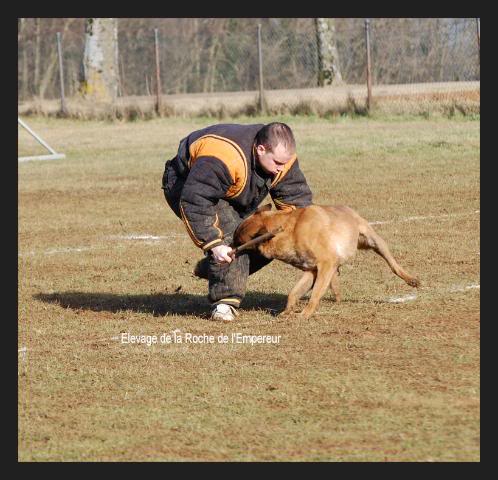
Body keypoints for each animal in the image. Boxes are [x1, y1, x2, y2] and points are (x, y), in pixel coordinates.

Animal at [233, 202, 420, 318]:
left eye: (238, 241)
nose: (229, 248)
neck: (289, 230)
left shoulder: (325, 264)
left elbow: (315, 294)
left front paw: (305, 314)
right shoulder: (312, 270)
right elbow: (294, 293)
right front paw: (287, 312)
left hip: (375, 242)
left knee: (393, 265)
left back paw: (411, 280)